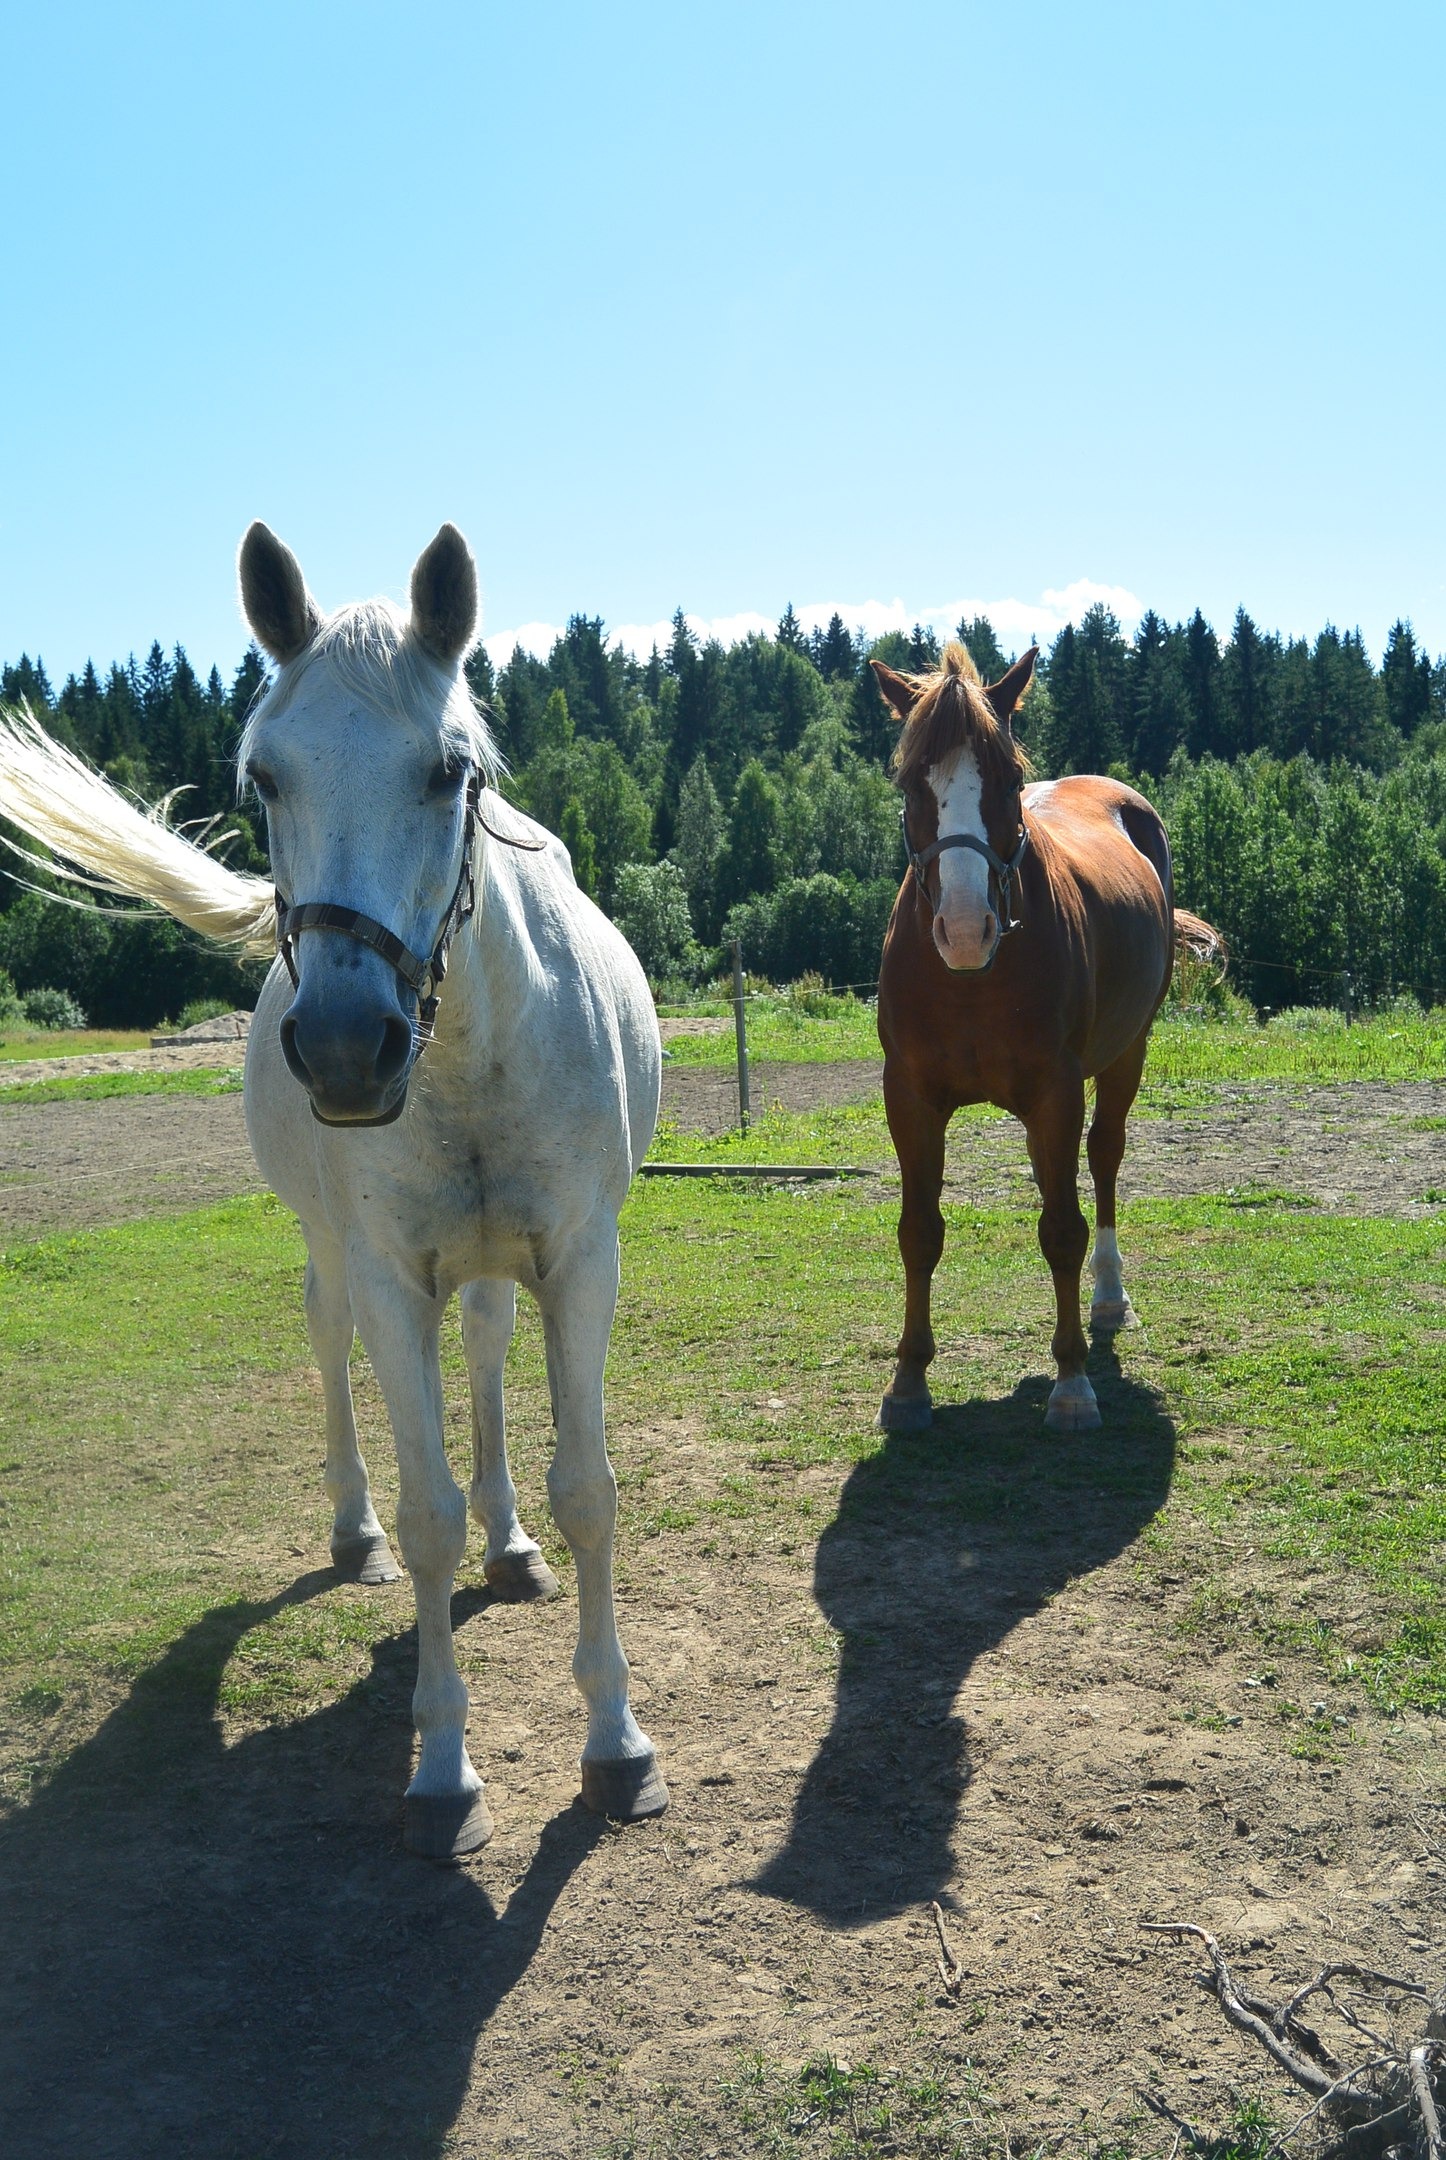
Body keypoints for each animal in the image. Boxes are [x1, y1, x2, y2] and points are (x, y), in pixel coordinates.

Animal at [0, 523, 668, 1859]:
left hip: (494, 1269)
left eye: (450, 770)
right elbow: (426, 1518)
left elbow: (587, 1490)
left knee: (486, 1353)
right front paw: (445, 1770)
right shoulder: (386, 1275)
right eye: (265, 778)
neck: (468, 1050)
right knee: (332, 1355)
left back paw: (511, 1544)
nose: (352, 1048)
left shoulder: (582, 1260)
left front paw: (616, 1745)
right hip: (332, 1256)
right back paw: (351, 1531)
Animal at [869, 641, 1222, 1436]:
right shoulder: (910, 1100)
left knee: (1104, 1160)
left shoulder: (1058, 1094)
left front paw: (1072, 1383)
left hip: (1126, 1056)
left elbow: (1063, 1230)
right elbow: (918, 1232)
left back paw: (1110, 1298)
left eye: (1009, 780)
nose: (964, 928)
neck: (972, 979)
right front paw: (909, 1381)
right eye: (911, 782)